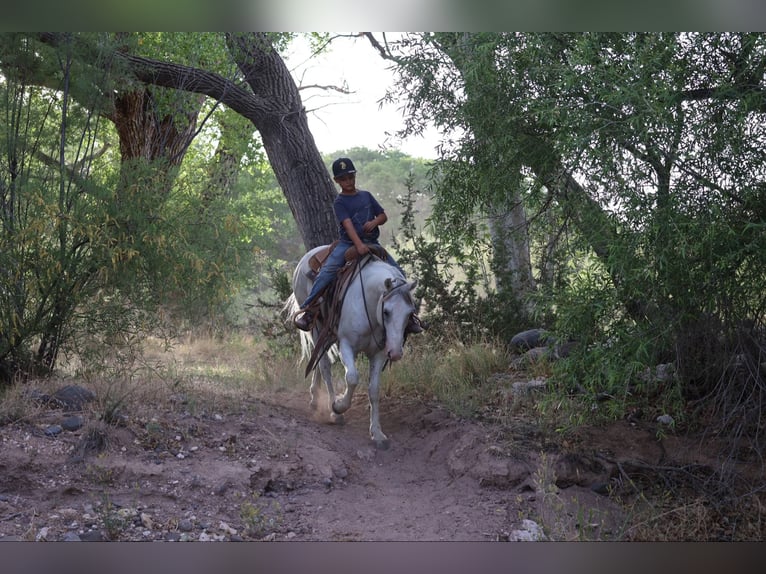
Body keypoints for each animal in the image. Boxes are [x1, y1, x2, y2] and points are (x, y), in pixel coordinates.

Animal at [284, 244, 418, 449]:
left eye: (410, 313)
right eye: (386, 312)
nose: (395, 353)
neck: (368, 305)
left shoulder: (379, 353)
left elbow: (374, 390)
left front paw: (377, 433)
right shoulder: (346, 345)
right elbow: (352, 378)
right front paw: (338, 406)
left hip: (328, 332)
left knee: (319, 361)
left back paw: (314, 399)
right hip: (316, 327)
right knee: (324, 365)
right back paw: (333, 411)